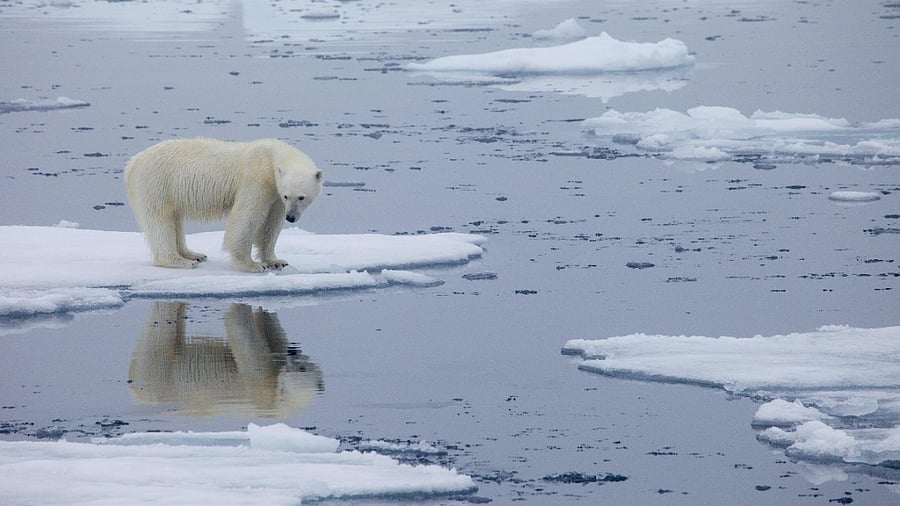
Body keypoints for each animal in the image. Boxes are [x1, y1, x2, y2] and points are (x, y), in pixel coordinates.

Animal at [125, 138, 322, 272]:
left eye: (301, 197)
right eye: (288, 196)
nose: (291, 217)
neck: (271, 156)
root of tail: (133, 162)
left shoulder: (275, 195)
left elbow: (271, 224)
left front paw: (276, 261)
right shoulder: (256, 179)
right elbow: (246, 217)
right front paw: (253, 265)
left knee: (175, 220)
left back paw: (194, 255)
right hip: (157, 183)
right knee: (160, 220)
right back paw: (179, 261)